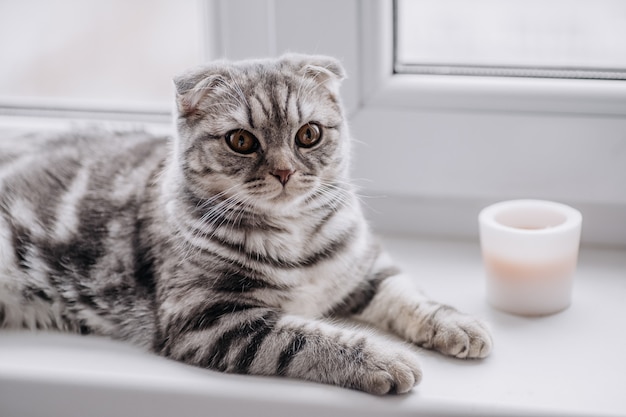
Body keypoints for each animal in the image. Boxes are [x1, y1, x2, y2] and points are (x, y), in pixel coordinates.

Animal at [0, 52, 488, 394]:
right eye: (241, 141)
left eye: (309, 134)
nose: (284, 171)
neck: (295, 237)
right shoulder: (209, 318)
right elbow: (304, 337)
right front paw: (383, 360)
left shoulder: (362, 267)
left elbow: (406, 294)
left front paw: (456, 325)